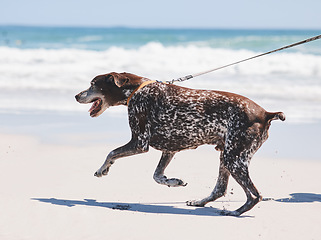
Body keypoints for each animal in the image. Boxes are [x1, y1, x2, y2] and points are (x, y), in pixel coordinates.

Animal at [75, 71, 284, 216]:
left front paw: (102, 169)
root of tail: (266, 114)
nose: (76, 96)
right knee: (220, 189)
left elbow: (112, 153)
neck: (137, 90)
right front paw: (173, 182)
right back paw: (200, 202)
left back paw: (234, 212)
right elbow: (157, 176)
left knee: (254, 195)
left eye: (93, 84)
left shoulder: (139, 143)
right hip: (227, 155)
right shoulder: (170, 149)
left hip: (234, 158)